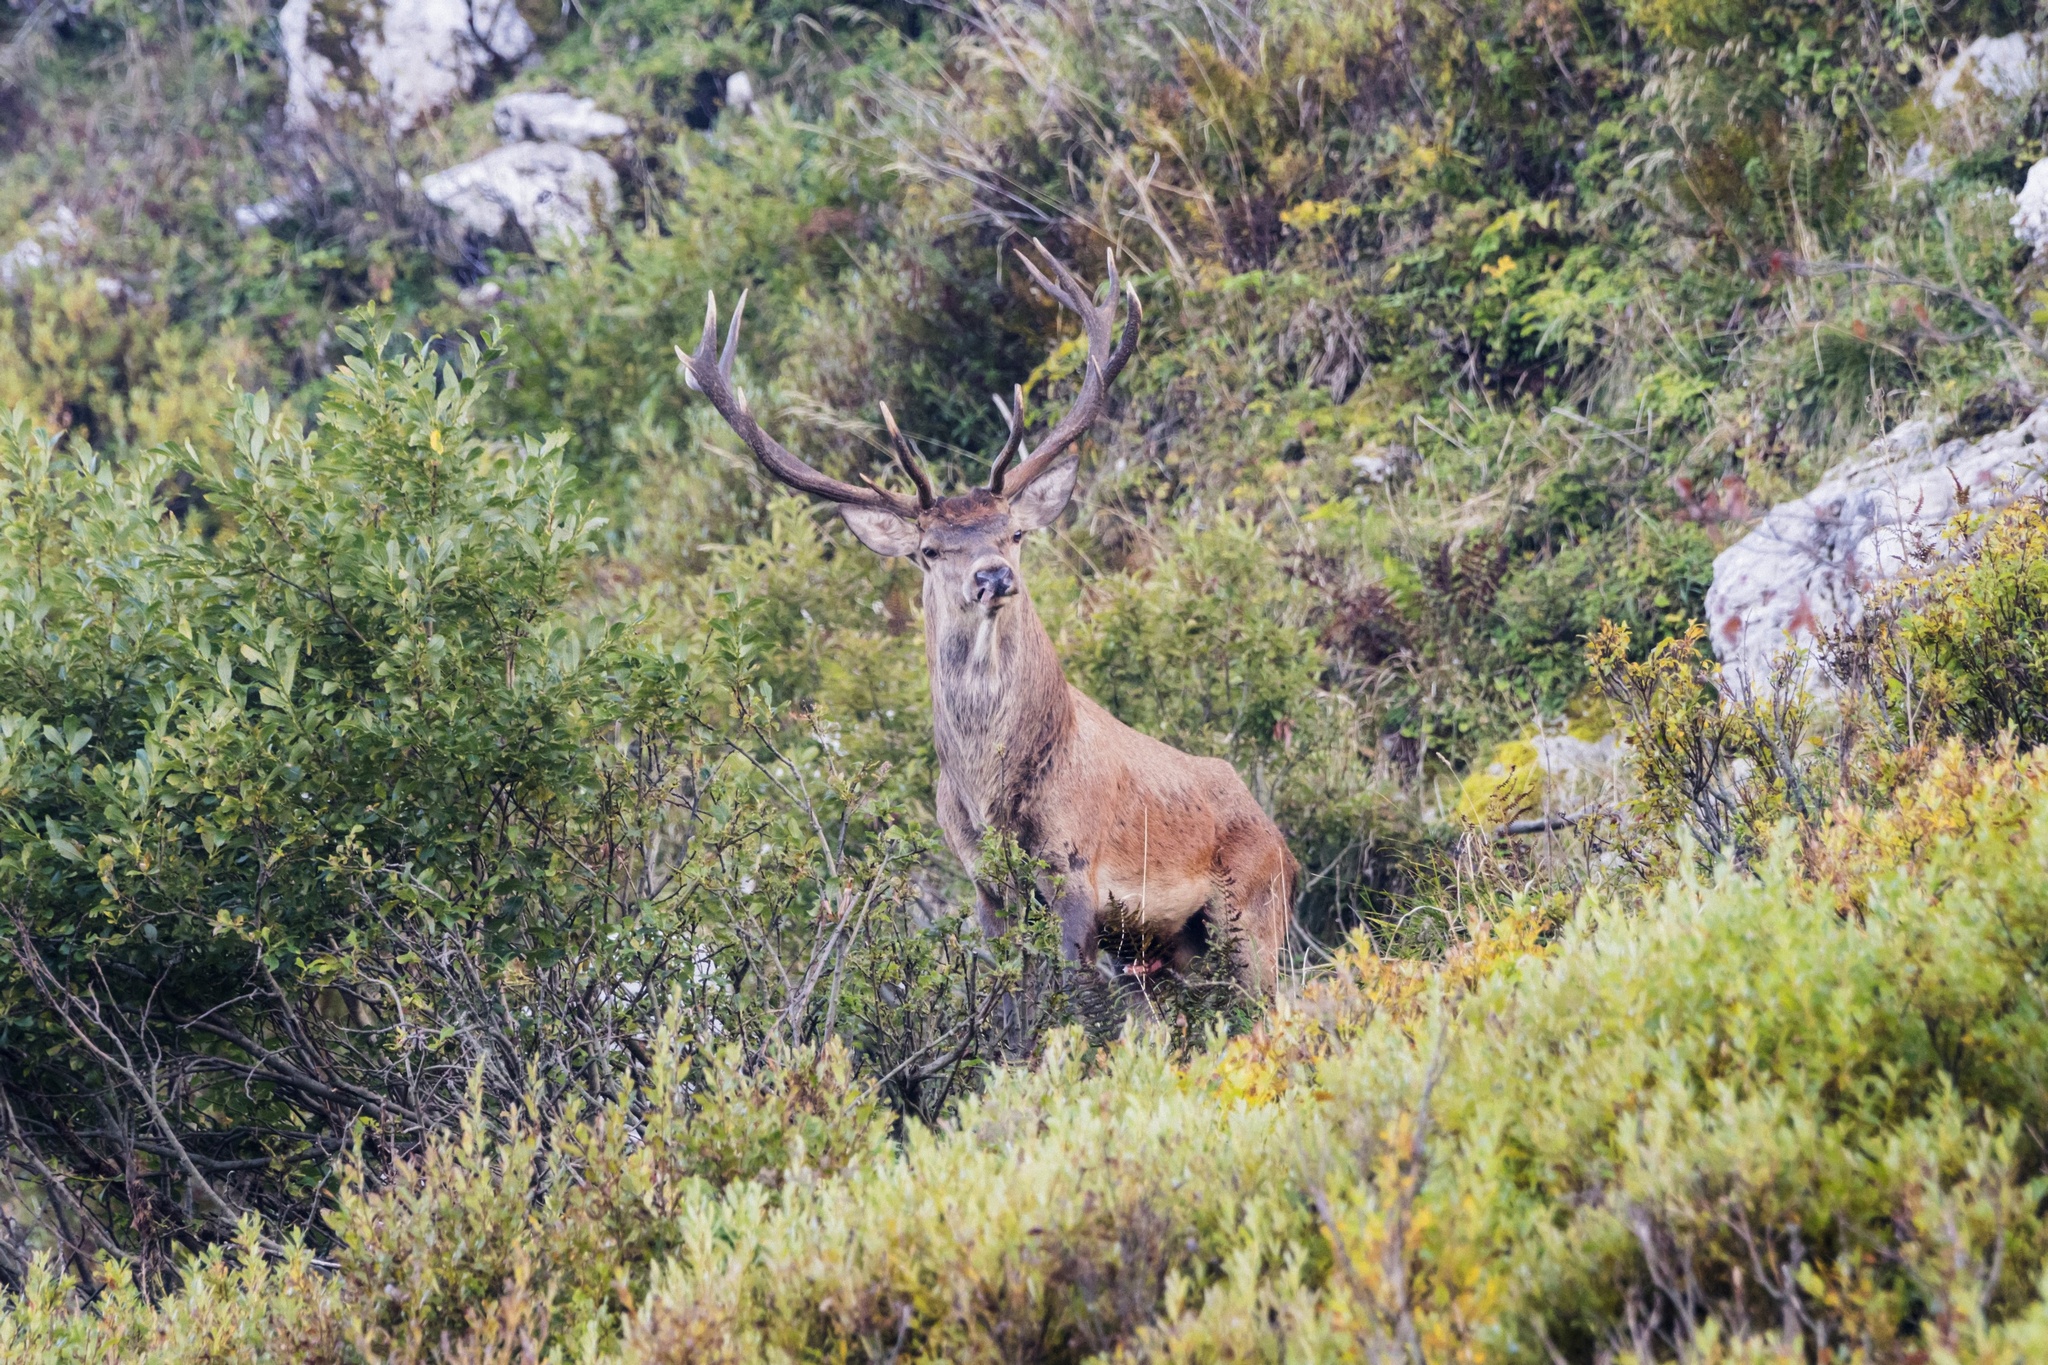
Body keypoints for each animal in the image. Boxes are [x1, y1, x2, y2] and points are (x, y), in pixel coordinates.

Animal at [678, 244, 1295, 993]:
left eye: (1015, 532)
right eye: (928, 550)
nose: (994, 575)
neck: (991, 799)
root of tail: (1282, 842)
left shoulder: (1076, 864)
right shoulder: (983, 884)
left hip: (1252, 913)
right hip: (1178, 948)